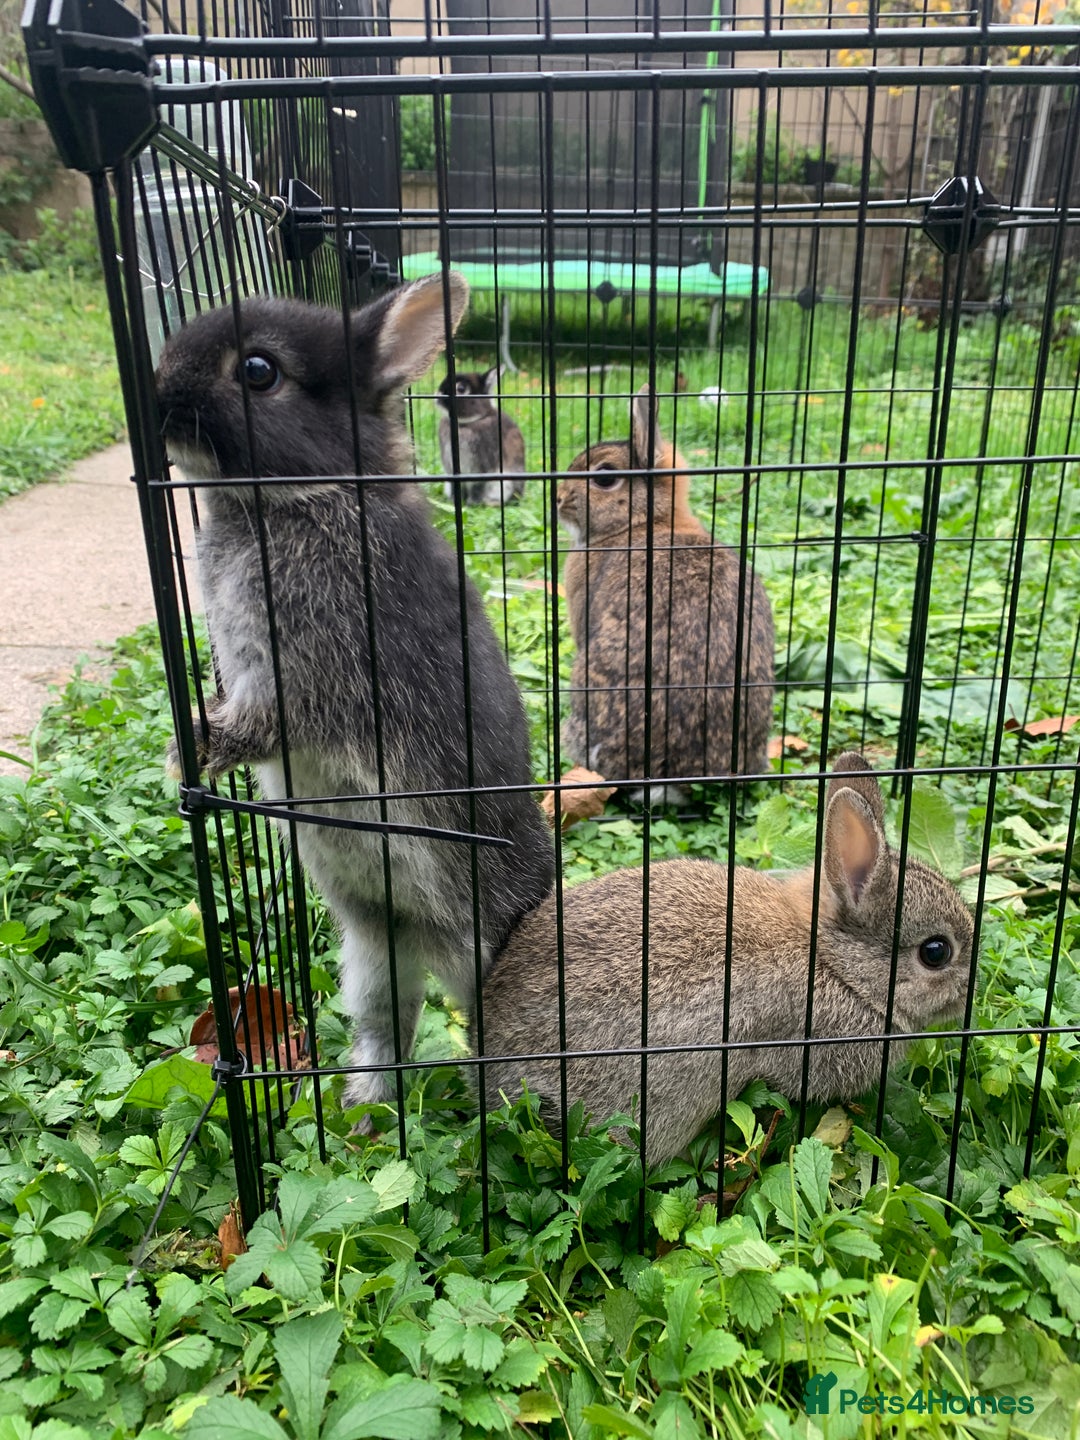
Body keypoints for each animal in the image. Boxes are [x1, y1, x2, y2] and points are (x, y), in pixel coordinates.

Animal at [436, 365, 526, 507]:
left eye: (461, 389)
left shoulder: (481, 468)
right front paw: (454, 501)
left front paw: (472, 504)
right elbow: (456, 486)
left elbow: (477, 486)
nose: (438, 395)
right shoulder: (451, 470)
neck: (468, 423)